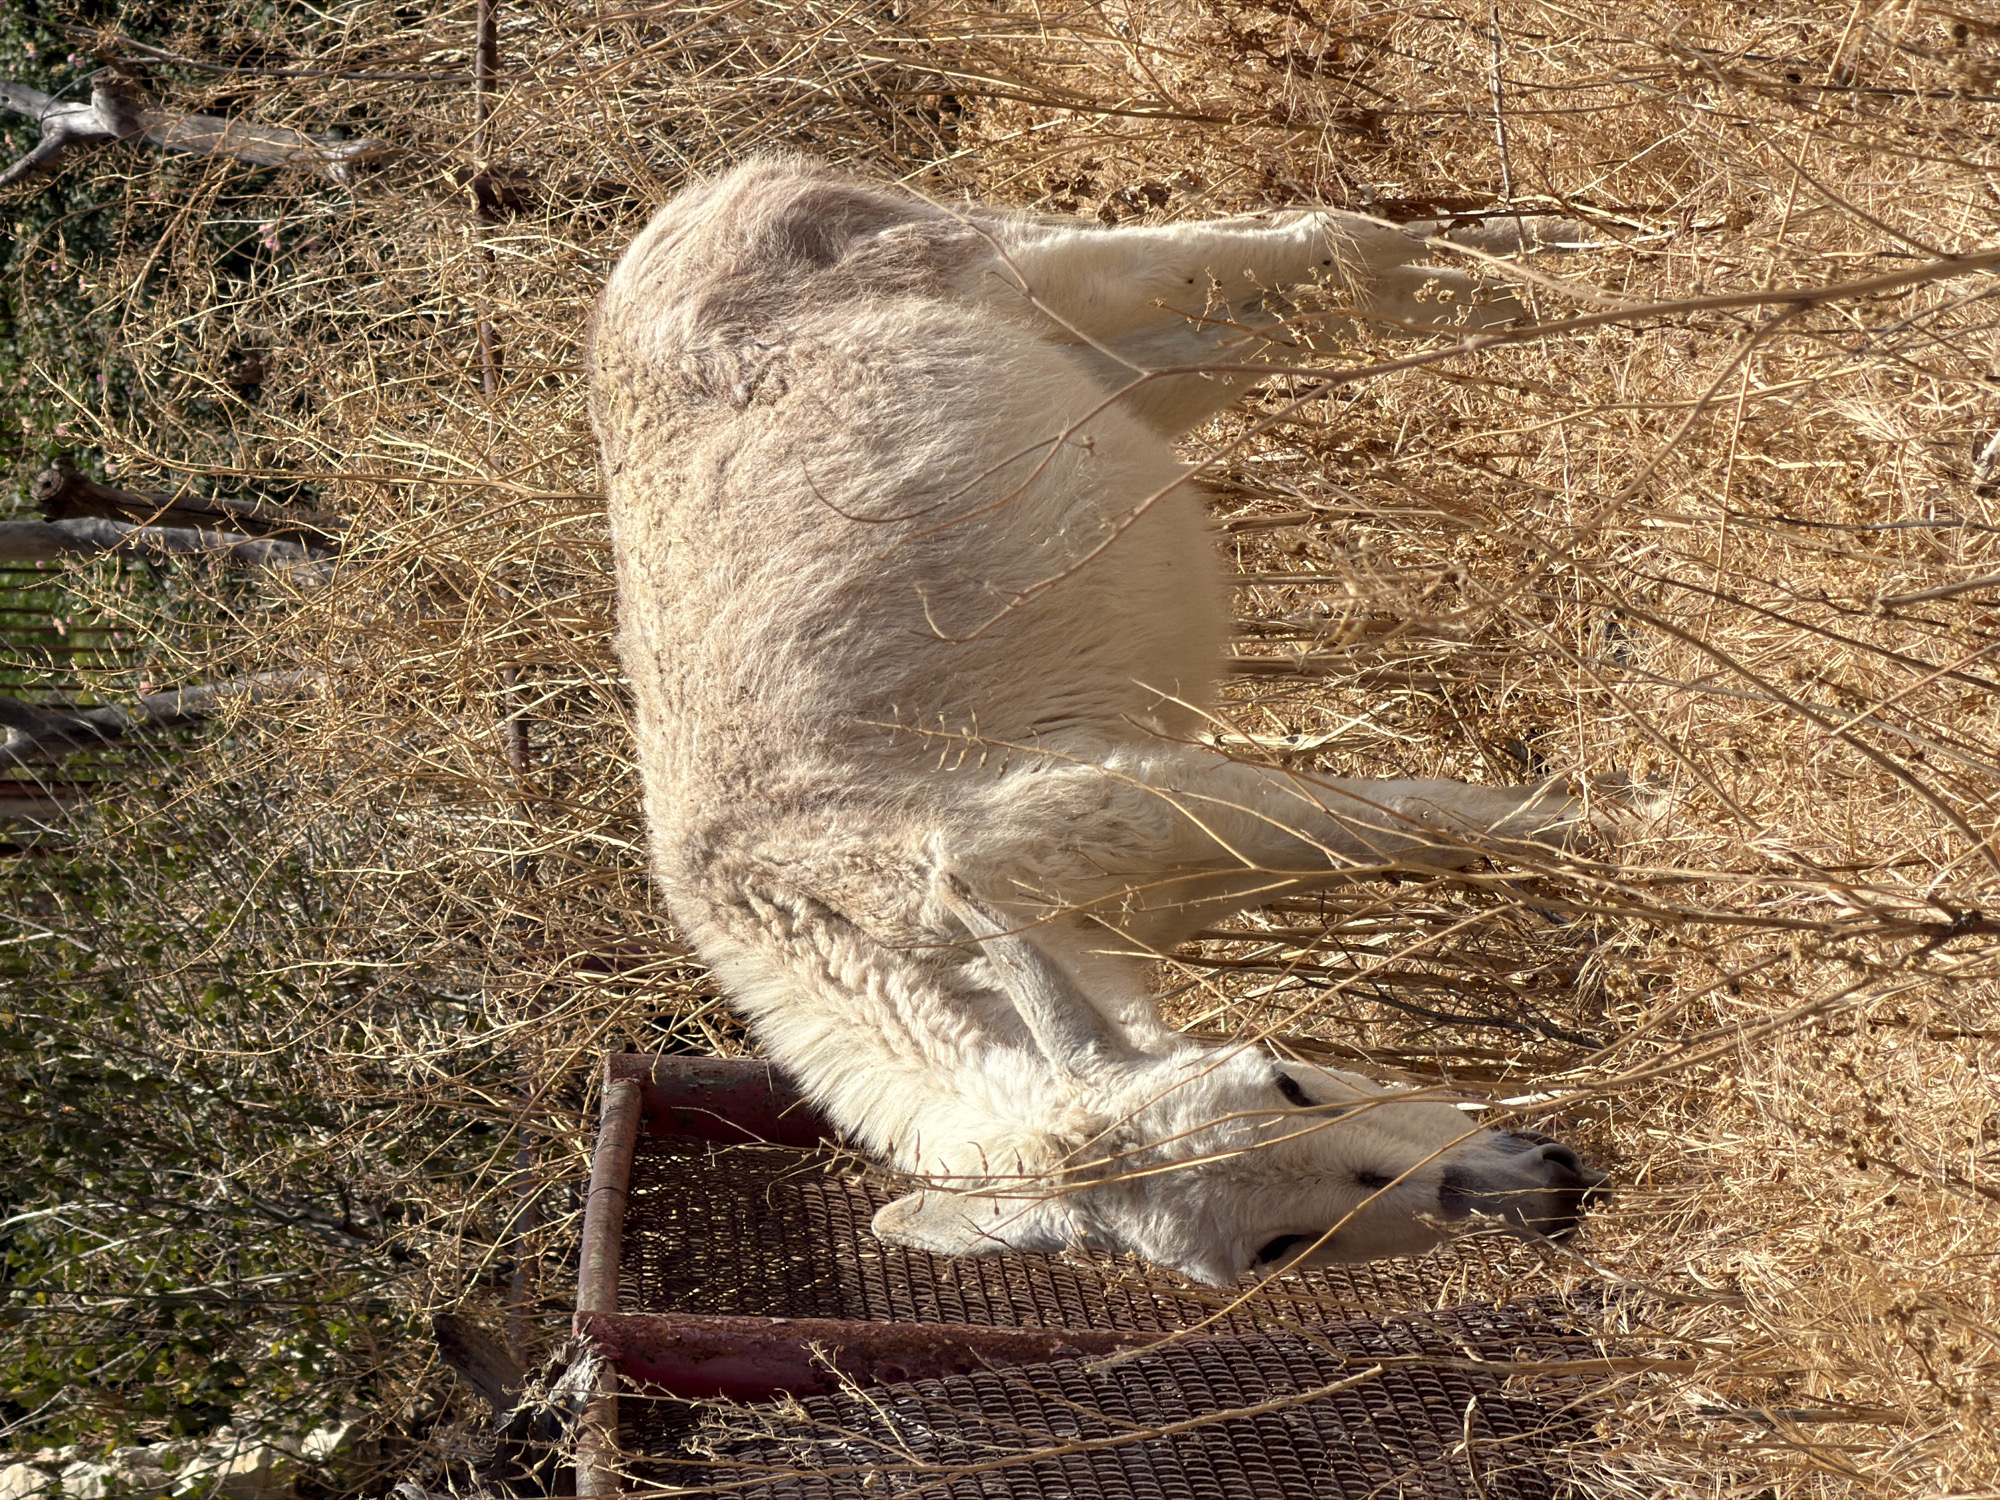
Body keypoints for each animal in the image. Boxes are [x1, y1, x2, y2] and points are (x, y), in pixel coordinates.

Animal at [587, 156, 1606, 1287]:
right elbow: (1409, 842)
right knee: (1315, 303)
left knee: (1321, 238)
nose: (1540, 1188)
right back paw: (1537, 303)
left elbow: (1426, 822)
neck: (859, 912)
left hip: (1049, 274)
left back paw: (1598, 263)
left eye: (1287, 1079)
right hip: (1144, 367)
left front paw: (1635, 833)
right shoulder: (1183, 873)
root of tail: (700, 203)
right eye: (1276, 1250)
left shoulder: (1155, 797)